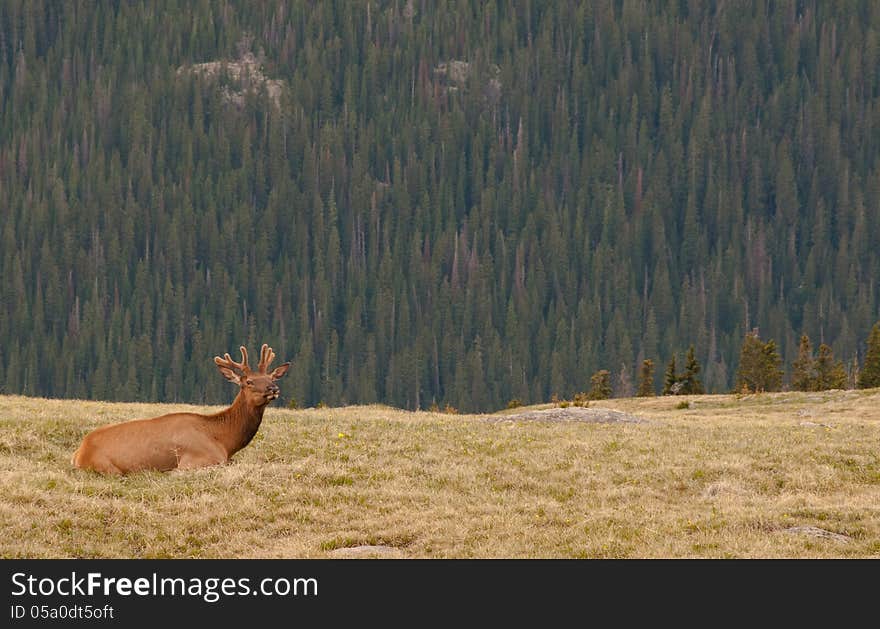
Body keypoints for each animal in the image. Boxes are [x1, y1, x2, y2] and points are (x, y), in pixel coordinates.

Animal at [72, 344, 290, 472]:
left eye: (271, 377)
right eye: (249, 382)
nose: (274, 388)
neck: (224, 440)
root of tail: (79, 453)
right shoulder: (196, 461)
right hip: (107, 467)